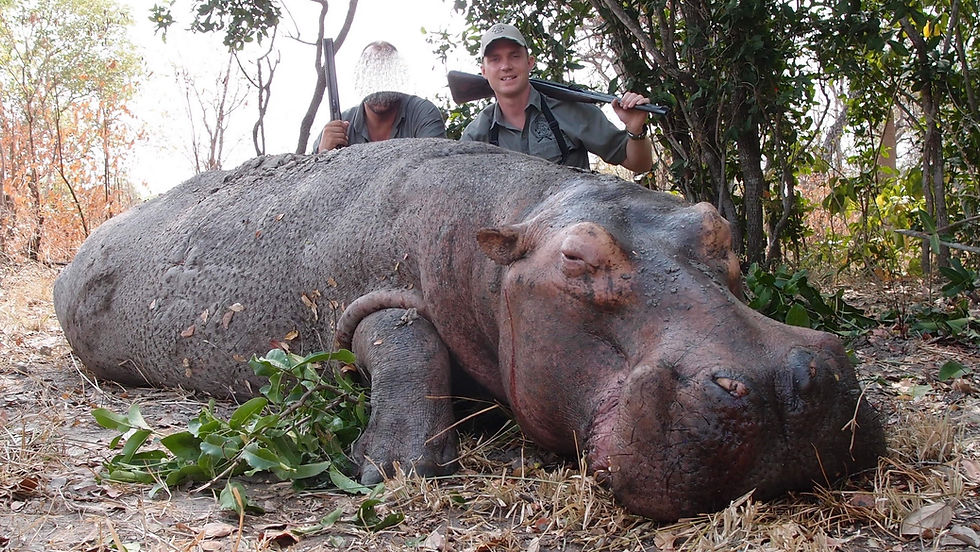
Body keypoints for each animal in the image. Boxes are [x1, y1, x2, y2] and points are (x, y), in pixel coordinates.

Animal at [54, 138, 883, 520]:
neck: (512, 228)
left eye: (719, 230)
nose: (785, 382)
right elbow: (404, 342)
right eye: (576, 257)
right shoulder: (373, 293)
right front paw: (394, 468)